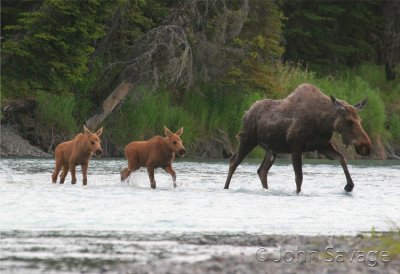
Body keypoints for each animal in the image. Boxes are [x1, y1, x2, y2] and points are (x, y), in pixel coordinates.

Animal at [225, 83, 372, 193]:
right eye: (349, 121)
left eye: (359, 120)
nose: (366, 146)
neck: (324, 123)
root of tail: (246, 112)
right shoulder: (296, 147)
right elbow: (299, 178)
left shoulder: (323, 146)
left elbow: (342, 158)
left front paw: (349, 185)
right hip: (248, 139)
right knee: (233, 161)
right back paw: (226, 188)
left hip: (271, 149)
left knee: (262, 171)